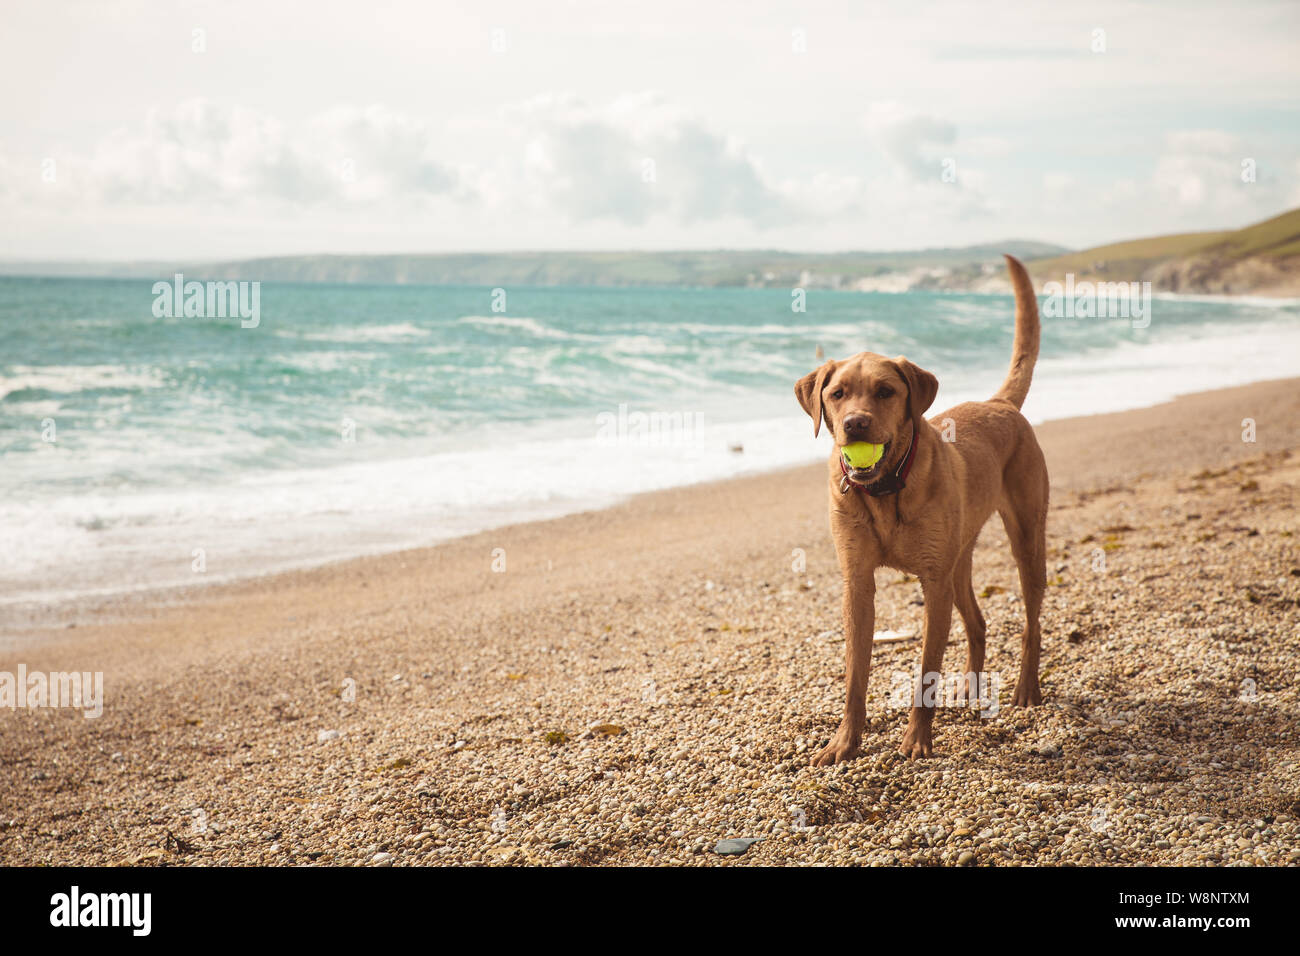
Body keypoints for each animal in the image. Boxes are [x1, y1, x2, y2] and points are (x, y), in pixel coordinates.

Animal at [790, 252, 1045, 764]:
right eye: (837, 393)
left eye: (886, 391)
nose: (855, 423)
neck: (886, 488)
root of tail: (1000, 403)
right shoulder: (857, 583)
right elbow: (855, 673)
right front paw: (844, 741)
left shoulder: (933, 581)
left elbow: (926, 668)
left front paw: (917, 739)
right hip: (959, 559)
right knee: (978, 622)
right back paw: (969, 690)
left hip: (1026, 539)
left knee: (1032, 619)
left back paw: (1027, 688)